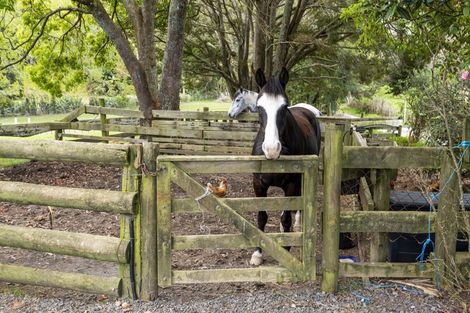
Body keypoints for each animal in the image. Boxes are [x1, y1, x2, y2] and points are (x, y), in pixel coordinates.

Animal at [248, 67, 322, 264]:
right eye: (259, 107)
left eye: (284, 107)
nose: (271, 149)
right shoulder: (258, 184)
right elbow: (262, 217)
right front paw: (257, 253)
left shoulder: (291, 183)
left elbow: (287, 218)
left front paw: (287, 250)